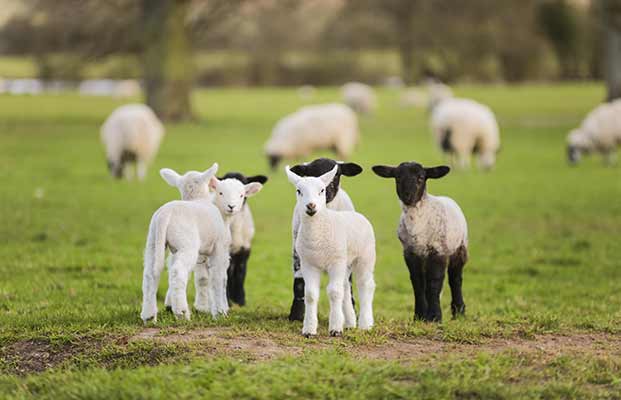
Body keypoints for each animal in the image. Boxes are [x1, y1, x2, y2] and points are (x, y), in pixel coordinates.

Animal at [140, 162, 230, 322]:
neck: (198, 199)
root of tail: (165, 215)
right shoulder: (219, 247)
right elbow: (218, 277)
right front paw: (220, 312)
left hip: (153, 242)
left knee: (150, 274)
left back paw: (149, 316)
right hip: (186, 243)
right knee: (178, 272)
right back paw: (182, 313)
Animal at [157, 167, 264, 308]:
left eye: (243, 194)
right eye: (221, 192)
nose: (232, 206)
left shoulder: (244, 250)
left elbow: (240, 272)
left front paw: (240, 301)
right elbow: (219, 276)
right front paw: (224, 302)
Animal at [284, 164, 376, 336]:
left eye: (322, 190)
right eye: (298, 190)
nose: (311, 206)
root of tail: (358, 215)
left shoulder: (335, 263)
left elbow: (334, 292)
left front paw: (335, 329)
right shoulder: (308, 264)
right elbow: (311, 295)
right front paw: (309, 329)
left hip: (365, 257)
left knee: (365, 285)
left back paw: (365, 323)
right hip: (345, 263)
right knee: (346, 287)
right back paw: (350, 323)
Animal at [370, 162, 468, 322]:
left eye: (421, 177)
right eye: (397, 177)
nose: (407, 196)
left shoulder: (438, 251)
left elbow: (434, 282)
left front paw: (435, 317)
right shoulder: (410, 252)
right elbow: (417, 282)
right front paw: (419, 316)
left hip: (460, 247)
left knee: (455, 279)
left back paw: (459, 313)